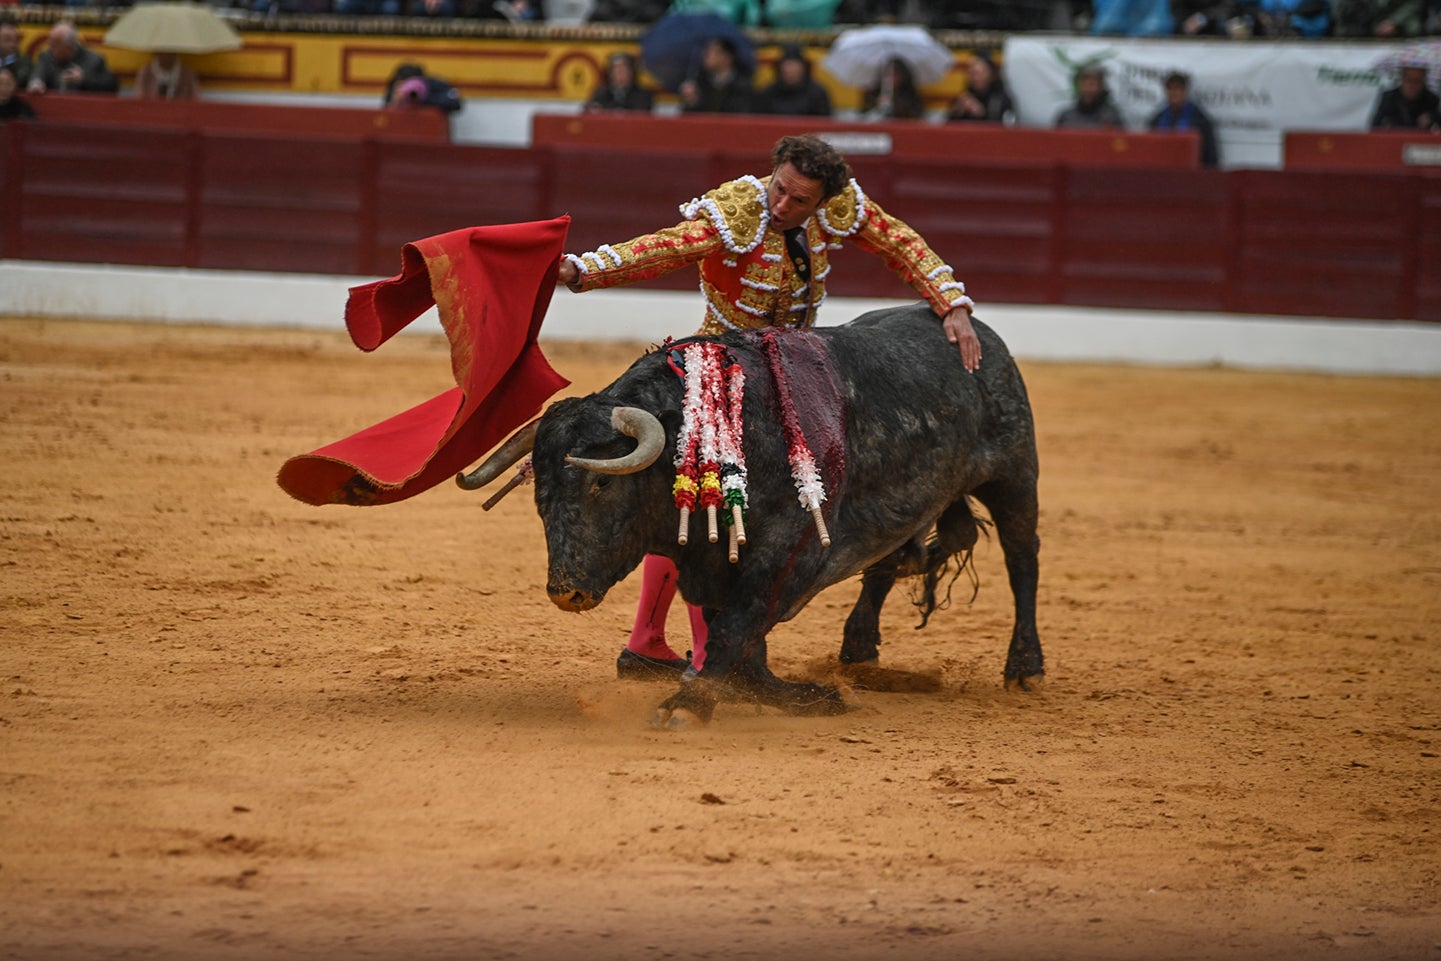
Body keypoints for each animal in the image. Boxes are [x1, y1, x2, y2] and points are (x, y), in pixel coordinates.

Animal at [466, 304, 1043, 726]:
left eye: (602, 482)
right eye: (541, 493)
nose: (566, 592)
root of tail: (976, 334)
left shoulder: (790, 549)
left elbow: (739, 624)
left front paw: (687, 706)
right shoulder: (711, 562)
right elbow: (740, 642)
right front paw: (807, 696)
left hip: (1014, 474)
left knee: (1022, 559)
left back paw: (1025, 667)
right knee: (914, 550)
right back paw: (859, 646)